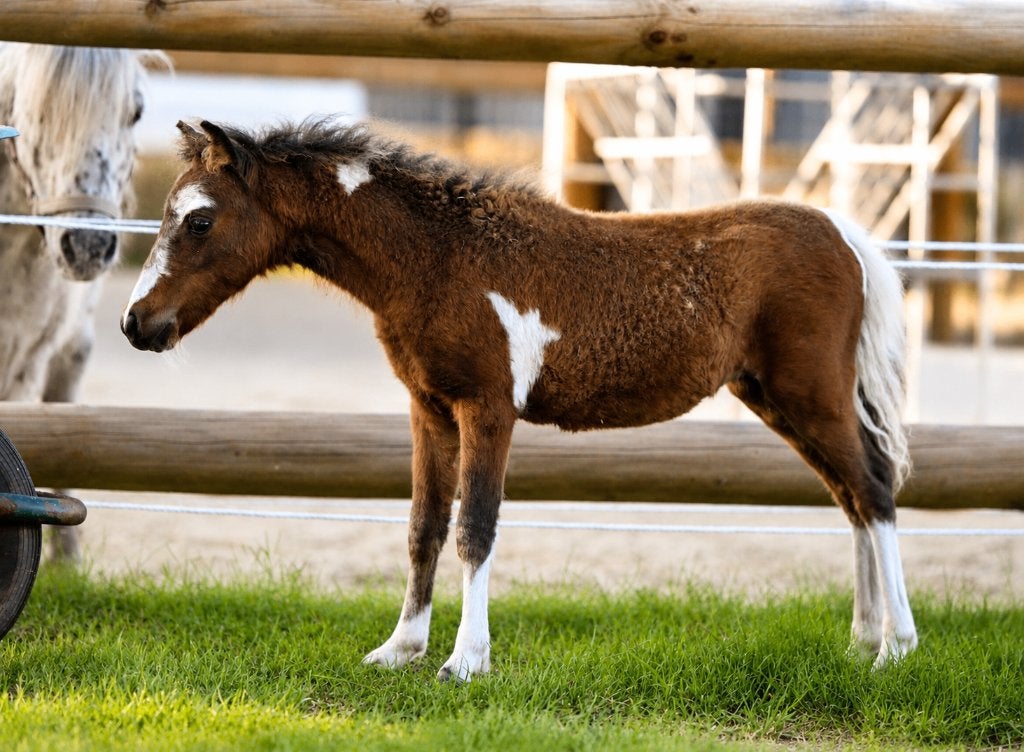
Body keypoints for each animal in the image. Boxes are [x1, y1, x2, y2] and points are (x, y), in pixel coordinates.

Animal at [121, 118, 918, 681]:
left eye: (199, 219)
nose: (136, 324)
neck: (439, 259)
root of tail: (843, 233)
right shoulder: (429, 408)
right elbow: (423, 527)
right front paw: (400, 648)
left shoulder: (489, 408)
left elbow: (476, 528)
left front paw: (465, 661)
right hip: (777, 400)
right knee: (850, 497)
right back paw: (860, 641)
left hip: (811, 395)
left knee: (874, 491)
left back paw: (896, 649)